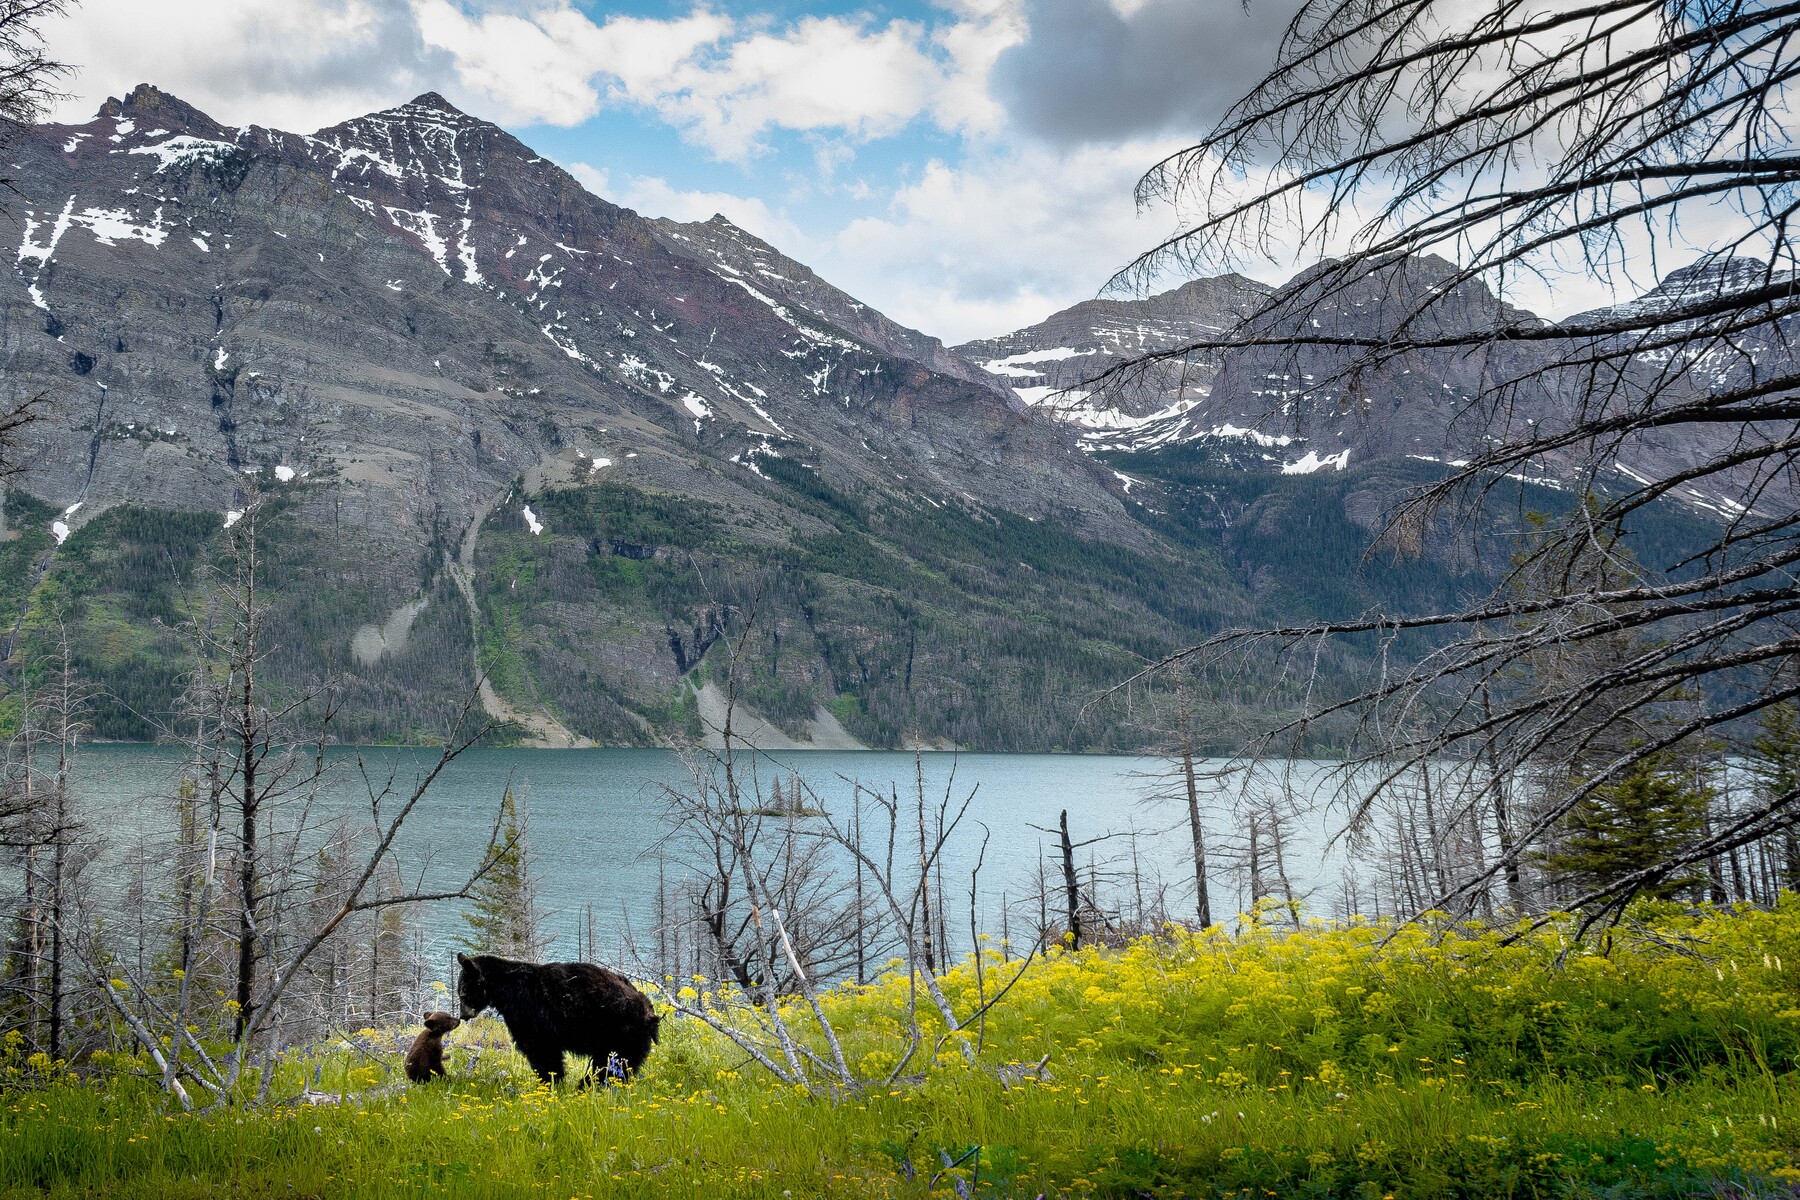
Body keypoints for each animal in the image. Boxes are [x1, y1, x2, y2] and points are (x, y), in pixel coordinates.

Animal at [456, 952, 660, 1085]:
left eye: (463, 993)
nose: (462, 1015)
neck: (502, 988)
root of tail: (649, 1011)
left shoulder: (527, 1010)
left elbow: (540, 1048)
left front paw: (549, 1080)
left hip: (618, 1033)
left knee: (612, 1065)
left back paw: (589, 1085)